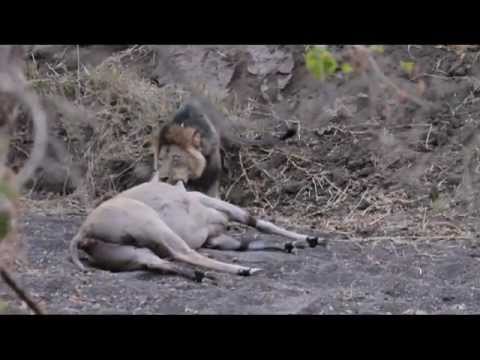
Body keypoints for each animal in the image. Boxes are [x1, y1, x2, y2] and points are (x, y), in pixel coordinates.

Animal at [69, 179, 324, 282]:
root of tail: (83, 232)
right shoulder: (221, 208)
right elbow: (257, 222)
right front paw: (311, 238)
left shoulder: (216, 238)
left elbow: (246, 243)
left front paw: (291, 244)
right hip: (154, 226)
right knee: (183, 253)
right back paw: (244, 269)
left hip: (132, 253)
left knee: (158, 262)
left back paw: (202, 275)